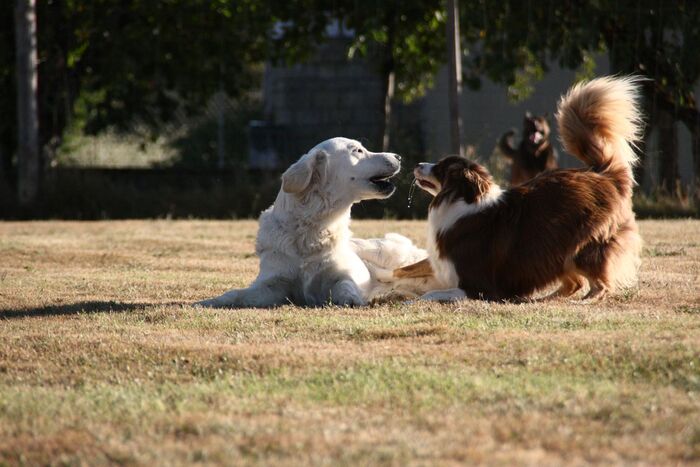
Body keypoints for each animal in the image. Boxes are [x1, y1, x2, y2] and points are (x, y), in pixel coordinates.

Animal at [197, 137, 432, 308]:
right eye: (358, 151)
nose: (398, 156)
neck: (313, 228)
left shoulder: (345, 274)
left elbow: (346, 285)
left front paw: (353, 298)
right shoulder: (274, 283)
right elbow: (235, 294)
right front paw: (209, 301)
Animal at [402, 76, 644, 304]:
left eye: (441, 168)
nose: (417, 164)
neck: (461, 199)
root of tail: (603, 173)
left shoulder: (477, 286)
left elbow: (430, 294)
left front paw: (411, 301)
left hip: (585, 245)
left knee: (601, 285)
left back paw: (584, 302)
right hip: (555, 251)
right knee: (573, 284)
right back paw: (542, 300)